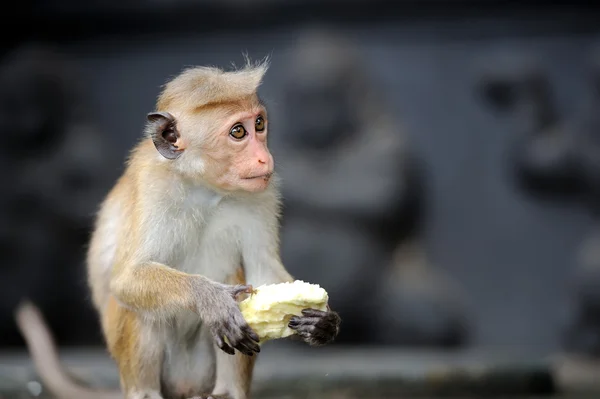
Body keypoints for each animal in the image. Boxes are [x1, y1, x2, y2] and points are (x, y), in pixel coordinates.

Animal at [14, 58, 340, 399]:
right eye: (238, 131)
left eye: (259, 124)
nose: (265, 158)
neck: (203, 188)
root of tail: (184, 388)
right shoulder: (153, 187)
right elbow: (127, 278)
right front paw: (210, 297)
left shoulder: (263, 192)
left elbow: (263, 270)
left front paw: (323, 321)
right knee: (140, 307)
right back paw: (146, 393)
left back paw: (227, 392)